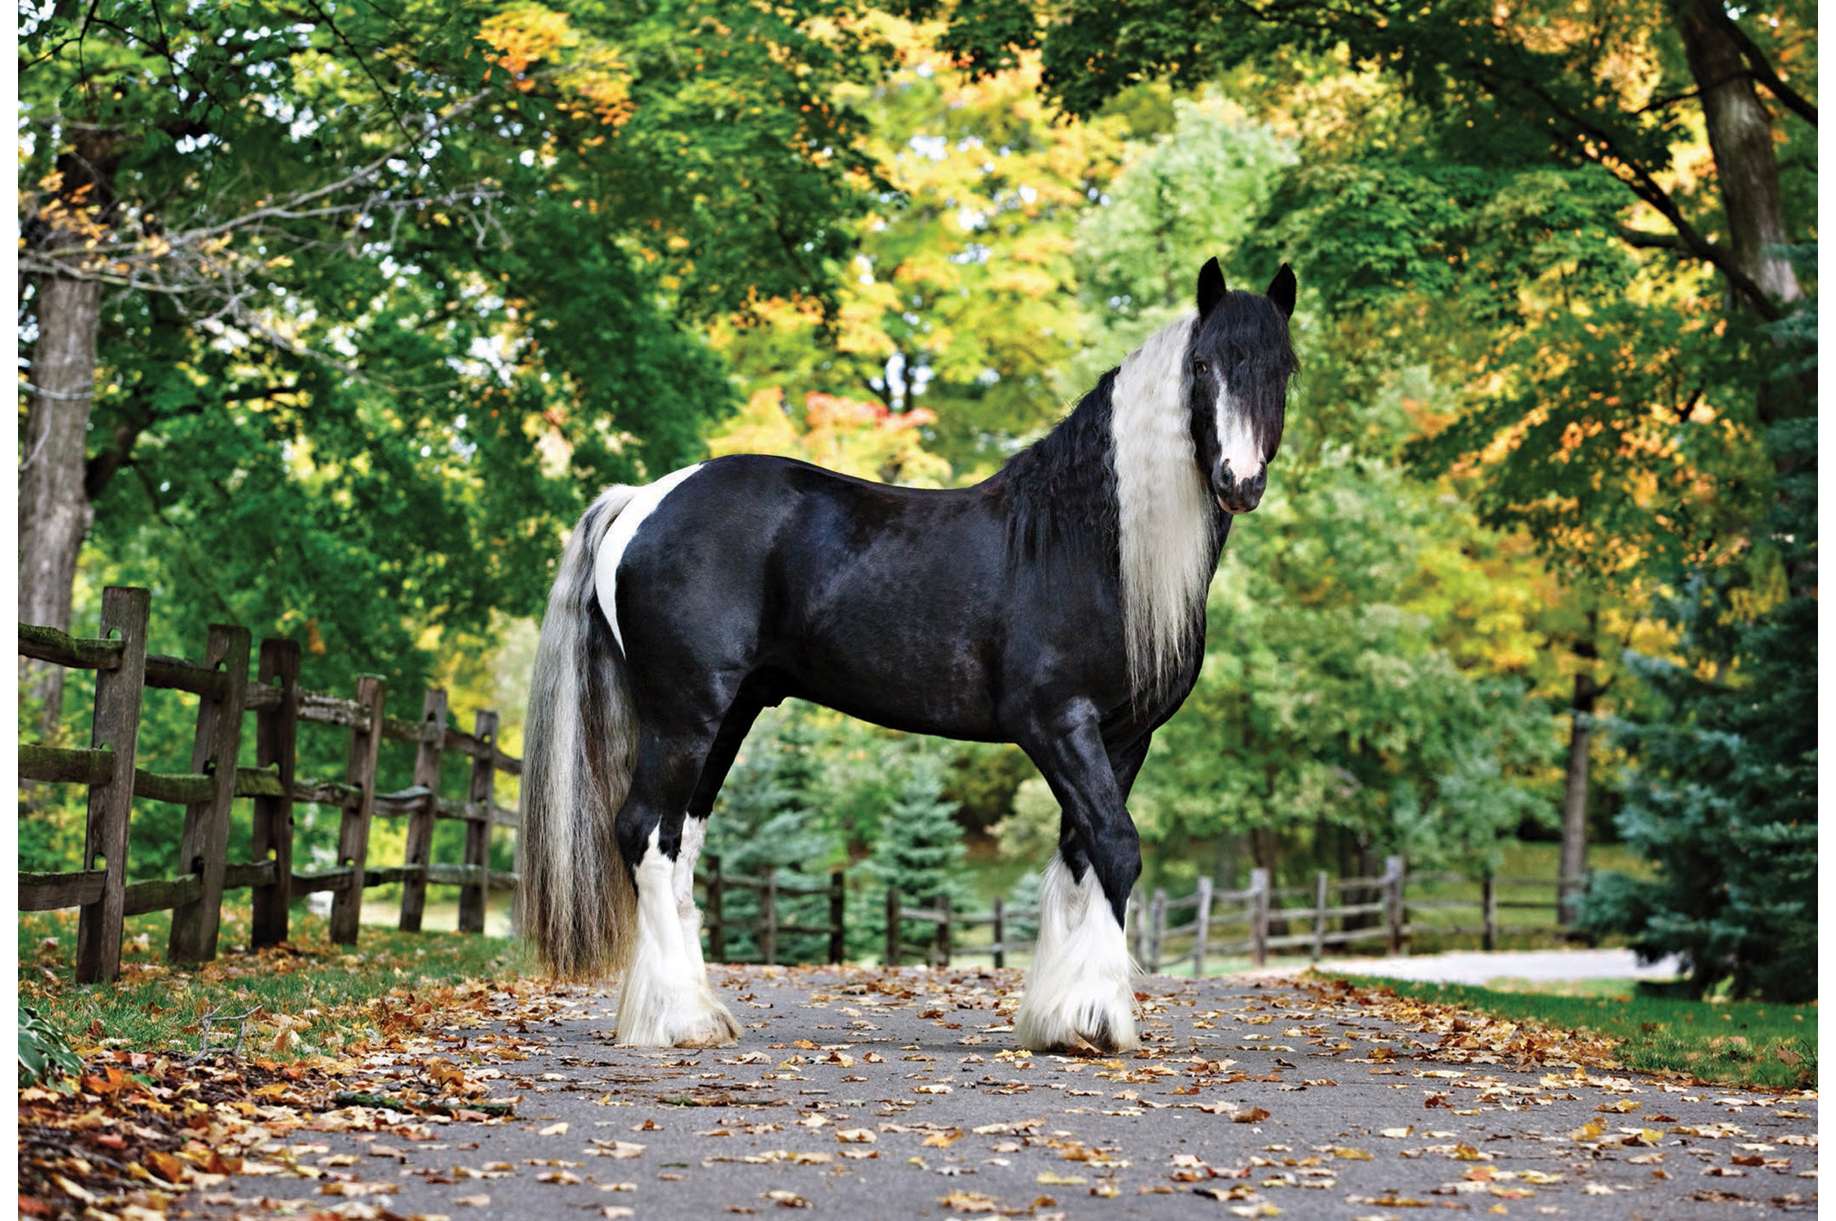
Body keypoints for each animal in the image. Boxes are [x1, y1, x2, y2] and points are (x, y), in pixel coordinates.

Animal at [514, 262, 1292, 1050]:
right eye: (1202, 366)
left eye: (1283, 368)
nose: (1239, 480)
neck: (1084, 544)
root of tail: (642, 498)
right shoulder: (1057, 725)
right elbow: (1116, 846)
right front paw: (1099, 1019)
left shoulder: (1125, 736)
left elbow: (1082, 857)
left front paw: (1062, 1015)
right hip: (684, 714)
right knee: (644, 830)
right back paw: (680, 1020)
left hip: (728, 715)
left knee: (681, 842)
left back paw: (695, 1011)